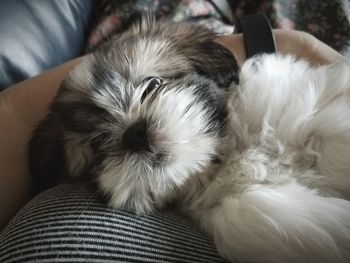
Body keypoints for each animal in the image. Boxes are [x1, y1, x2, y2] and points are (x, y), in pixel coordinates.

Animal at [29, 16, 350, 263]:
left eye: (153, 84)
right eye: (98, 146)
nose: (134, 134)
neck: (223, 159)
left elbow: (332, 135)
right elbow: (248, 214)